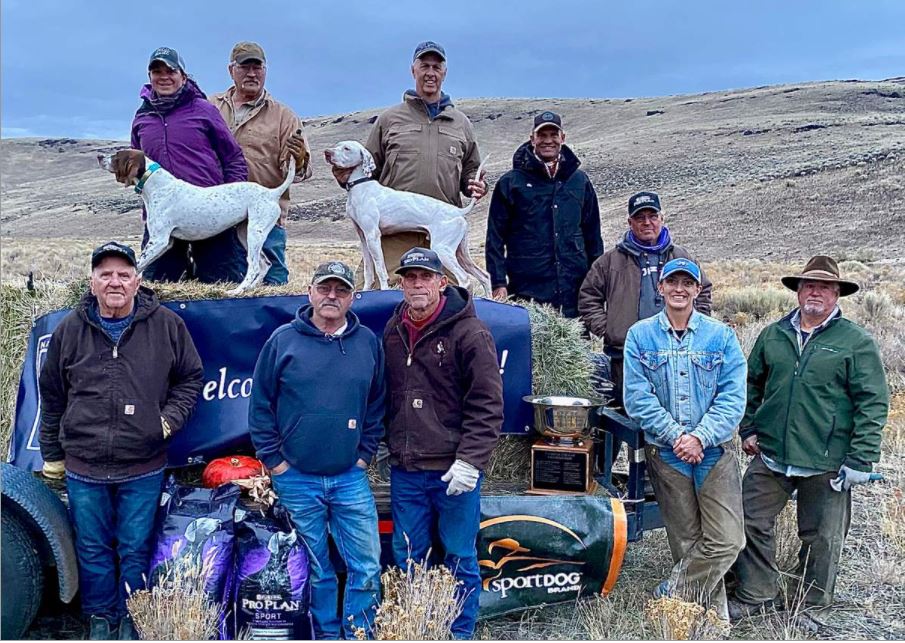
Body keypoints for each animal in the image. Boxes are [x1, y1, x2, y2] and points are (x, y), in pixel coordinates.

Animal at [97, 150, 294, 296]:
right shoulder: (165, 242)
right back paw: (251, 289)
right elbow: (139, 266)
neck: (156, 185)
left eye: (117, 155)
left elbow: (136, 263)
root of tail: (272, 193)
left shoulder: (159, 240)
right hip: (245, 233)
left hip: (255, 233)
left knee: (253, 266)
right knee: (264, 263)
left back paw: (237, 291)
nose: (99, 156)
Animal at [324, 141, 490, 294]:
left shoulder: (373, 236)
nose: (327, 152)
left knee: (465, 279)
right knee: (484, 276)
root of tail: (457, 211)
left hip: (442, 249)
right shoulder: (364, 239)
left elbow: (380, 270)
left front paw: (384, 290)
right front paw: (364, 292)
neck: (361, 186)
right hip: (460, 253)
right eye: (337, 145)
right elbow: (368, 271)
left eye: (346, 148)